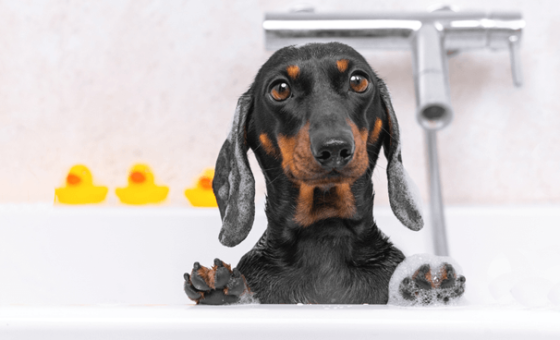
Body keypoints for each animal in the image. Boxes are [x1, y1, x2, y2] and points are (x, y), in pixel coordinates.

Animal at [184, 42, 464, 306]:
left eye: (358, 81)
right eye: (280, 89)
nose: (334, 148)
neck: (325, 235)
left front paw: (430, 285)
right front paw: (221, 287)